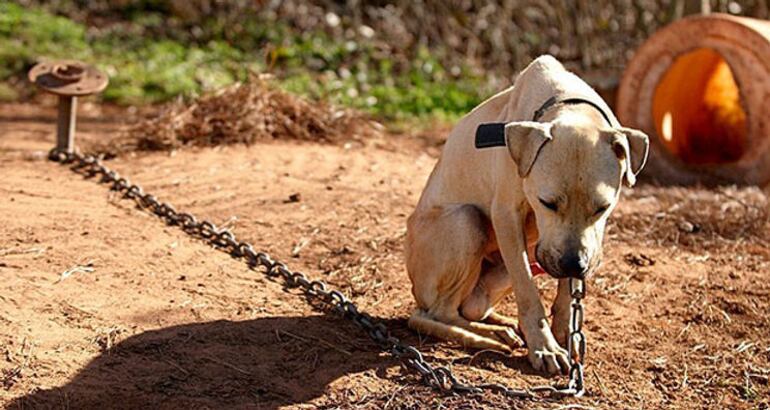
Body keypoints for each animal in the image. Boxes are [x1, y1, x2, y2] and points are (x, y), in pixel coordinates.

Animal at [404, 55, 644, 374]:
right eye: (547, 203)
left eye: (602, 208)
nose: (573, 264)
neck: (568, 103)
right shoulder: (507, 216)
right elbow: (528, 291)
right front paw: (545, 347)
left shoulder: (585, 241)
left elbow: (569, 291)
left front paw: (565, 331)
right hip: (466, 221)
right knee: (437, 313)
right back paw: (490, 336)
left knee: (468, 308)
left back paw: (501, 325)